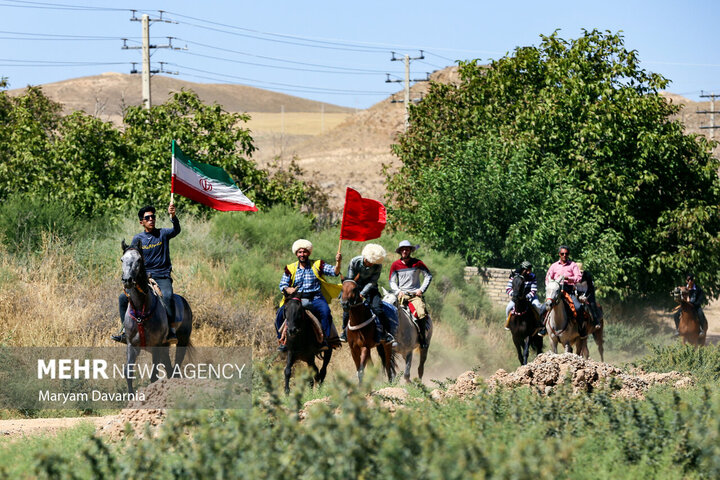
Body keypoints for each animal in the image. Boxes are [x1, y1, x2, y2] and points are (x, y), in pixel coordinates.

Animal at [121, 240, 194, 394]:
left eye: (139, 260)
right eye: (122, 259)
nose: (127, 280)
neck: (140, 311)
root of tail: (185, 303)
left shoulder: (155, 346)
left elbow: (153, 376)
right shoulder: (131, 345)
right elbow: (128, 372)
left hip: (181, 342)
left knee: (175, 367)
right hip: (165, 347)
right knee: (170, 368)